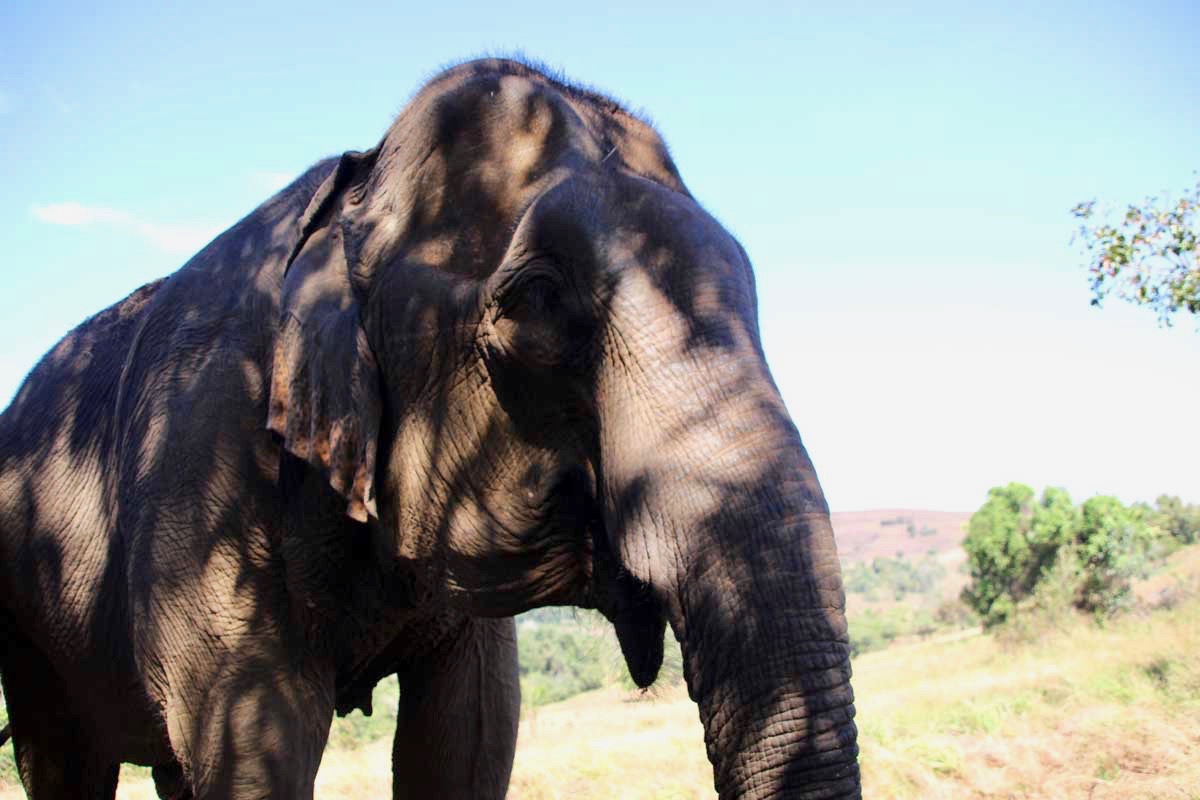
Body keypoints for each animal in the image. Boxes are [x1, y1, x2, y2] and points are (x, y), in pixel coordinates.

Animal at [0, 57, 864, 800]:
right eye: (538, 299)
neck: (356, 185)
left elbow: (470, 728)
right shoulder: (203, 491)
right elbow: (256, 747)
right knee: (64, 760)